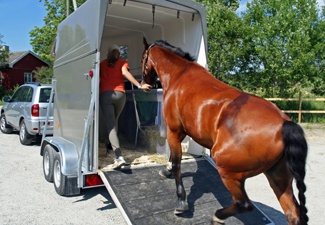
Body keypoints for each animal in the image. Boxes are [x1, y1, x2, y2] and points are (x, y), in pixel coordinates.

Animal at [140, 37, 308, 224]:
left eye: (143, 59)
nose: (145, 83)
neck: (180, 75)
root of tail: (285, 124)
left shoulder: (174, 130)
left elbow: (177, 163)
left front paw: (181, 202)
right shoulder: (180, 131)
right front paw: (166, 170)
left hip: (229, 172)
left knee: (244, 204)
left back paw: (217, 216)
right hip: (278, 178)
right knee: (293, 214)